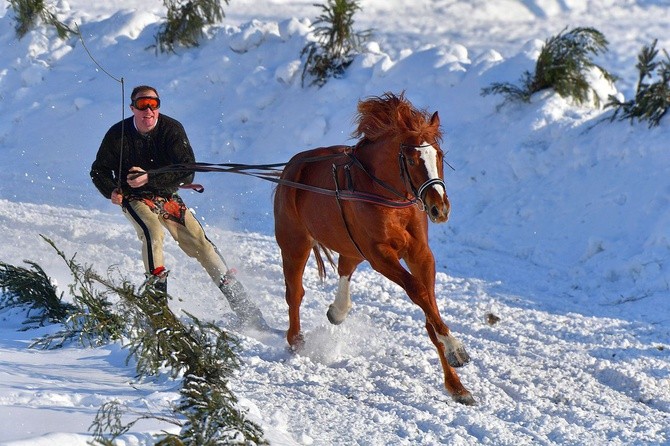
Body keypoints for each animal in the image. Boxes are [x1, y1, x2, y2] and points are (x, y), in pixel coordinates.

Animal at [270, 91, 476, 404]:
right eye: (412, 159)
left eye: (439, 155)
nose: (439, 208)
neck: (387, 196)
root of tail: (291, 168)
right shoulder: (380, 255)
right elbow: (418, 292)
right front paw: (456, 347)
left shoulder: (420, 254)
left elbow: (429, 309)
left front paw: (456, 384)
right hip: (295, 242)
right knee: (295, 292)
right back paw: (296, 340)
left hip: (351, 245)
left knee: (345, 266)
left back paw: (338, 310)